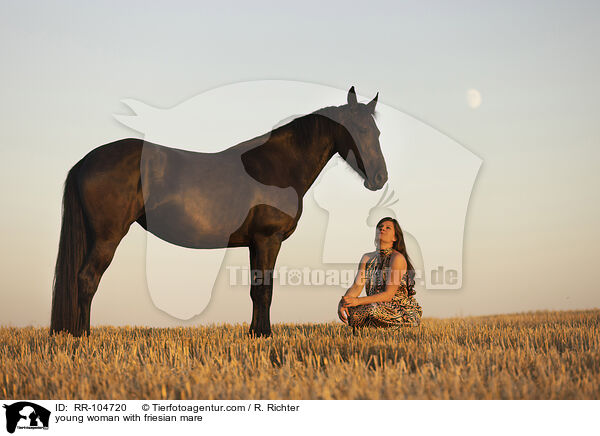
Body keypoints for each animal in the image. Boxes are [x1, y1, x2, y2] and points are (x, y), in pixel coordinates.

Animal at [51, 85, 390, 338]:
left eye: (377, 132)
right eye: (357, 129)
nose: (379, 178)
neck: (278, 167)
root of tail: (86, 161)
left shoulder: (255, 243)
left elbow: (256, 289)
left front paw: (255, 333)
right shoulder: (268, 239)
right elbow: (265, 290)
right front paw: (264, 335)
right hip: (107, 237)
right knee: (87, 279)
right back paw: (83, 336)